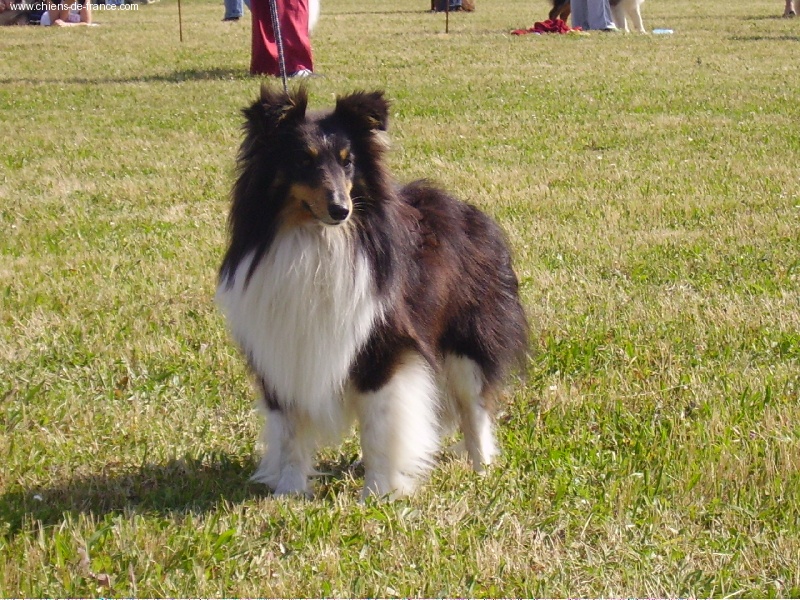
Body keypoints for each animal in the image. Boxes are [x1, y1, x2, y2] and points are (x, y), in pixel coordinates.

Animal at [216, 86, 528, 499]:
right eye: (302, 159)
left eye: (348, 162)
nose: (341, 210)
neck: (317, 240)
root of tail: (470, 212)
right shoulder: (282, 349)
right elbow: (289, 431)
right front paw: (289, 492)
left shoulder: (383, 347)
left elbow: (379, 429)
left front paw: (379, 493)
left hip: (467, 344)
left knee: (474, 409)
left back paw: (481, 469)